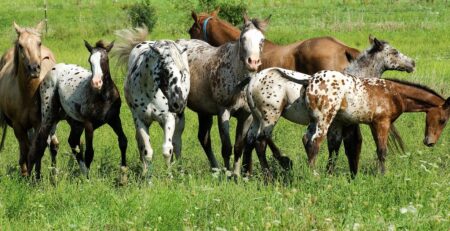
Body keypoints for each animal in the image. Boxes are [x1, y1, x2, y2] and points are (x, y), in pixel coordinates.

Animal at [0, 22, 59, 177]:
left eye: (39, 43)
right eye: (20, 45)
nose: (34, 68)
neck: (27, 95)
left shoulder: (38, 124)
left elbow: (36, 148)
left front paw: (36, 176)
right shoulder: (18, 126)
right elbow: (25, 149)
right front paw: (25, 174)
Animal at [27, 40, 127, 180]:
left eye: (105, 59)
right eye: (90, 60)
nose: (96, 82)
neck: (103, 96)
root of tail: (51, 70)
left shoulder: (114, 119)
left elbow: (123, 141)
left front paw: (123, 175)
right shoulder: (89, 124)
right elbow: (90, 152)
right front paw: (89, 179)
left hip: (74, 122)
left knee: (72, 141)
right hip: (49, 115)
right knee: (41, 142)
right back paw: (37, 178)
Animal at [113, 30, 191, 175]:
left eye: (182, 73)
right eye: (166, 70)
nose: (178, 104)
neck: (151, 92)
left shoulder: (168, 118)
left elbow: (167, 150)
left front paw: (169, 176)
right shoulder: (140, 120)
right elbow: (147, 151)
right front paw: (147, 176)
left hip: (179, 121)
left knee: (177, 143)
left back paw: (180, 169)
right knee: (140, 143)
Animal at [244, 35, 416, 178]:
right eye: (394, 52)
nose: (412, 63)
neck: (352, 84)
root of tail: (253, 83)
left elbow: (338, 145)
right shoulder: (340, 124)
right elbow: (345, 145)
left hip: (257, 119)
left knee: (250, 141)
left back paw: (247, 175)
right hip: (270, 117)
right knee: (261, 142)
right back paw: (272, 173)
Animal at [300, 71, 448, 174]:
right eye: (443, 120)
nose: (430, 142)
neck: (395, 93)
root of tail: (310, 80)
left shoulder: (373, 124)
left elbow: (378, 150)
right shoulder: (382, 123)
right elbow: (383, 151)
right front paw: (383, 175)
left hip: (315, 121)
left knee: (307, 139)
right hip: (324, 119)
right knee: (315, 142)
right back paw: (313, 175)